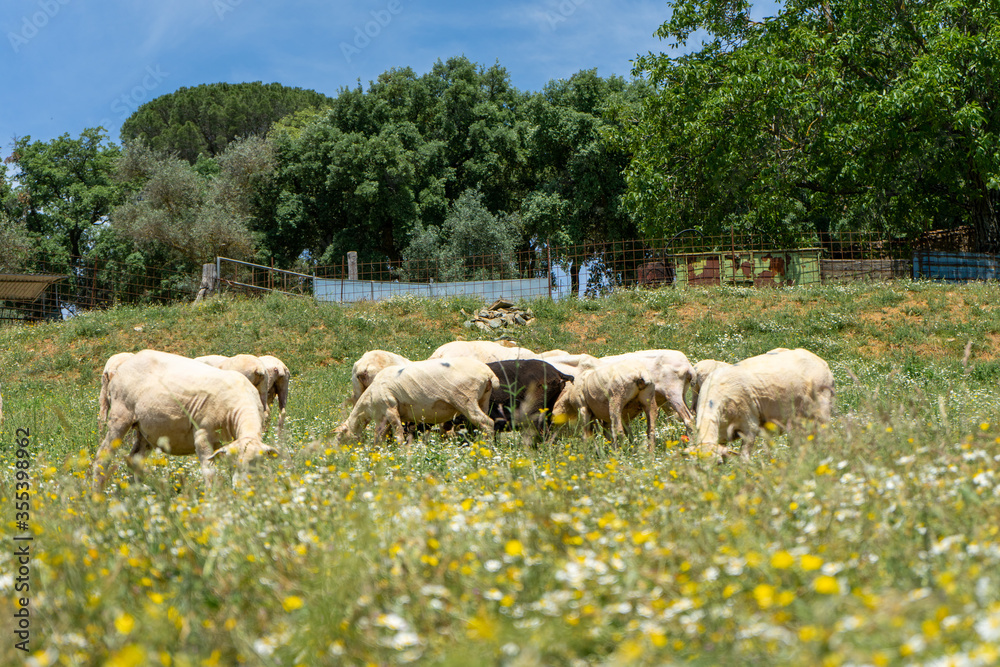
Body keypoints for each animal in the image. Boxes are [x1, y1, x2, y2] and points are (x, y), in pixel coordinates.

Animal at [91, 350, 276, 489]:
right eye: (233, 463)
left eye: (257, 463)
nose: (241, 488)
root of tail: (127, 362)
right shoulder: (203, 434)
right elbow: (210, 472)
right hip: (120, 416)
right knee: (103, 456)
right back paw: (97, 493)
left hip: (146, 429)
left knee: (135, 460)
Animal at [331, 358, 499, 447]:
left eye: (339, 438)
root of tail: (489, 374)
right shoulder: (382, 417)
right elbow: (381, 436)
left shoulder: (389, 408)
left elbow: (397, 433)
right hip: (483, 398)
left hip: (466, 398)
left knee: (487, 423)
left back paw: (486, 447)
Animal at [693, 348, 834, 461]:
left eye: (717, 463)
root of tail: (820, 361)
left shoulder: (749, 425)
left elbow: (744, 457)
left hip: (821, 405)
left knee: (825, 433)